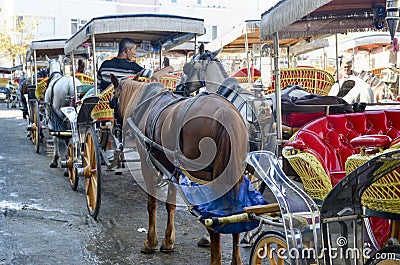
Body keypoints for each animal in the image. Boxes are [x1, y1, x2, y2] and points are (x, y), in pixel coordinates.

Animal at [111, 74, 248, 264]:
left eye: (112, 101)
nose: (114, 130)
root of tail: (224, 112)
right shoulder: (172, 170)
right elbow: (171, 204)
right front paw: (168, 241)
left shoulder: (147, 165)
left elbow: (152, 204)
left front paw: (150, 242)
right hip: (235, 175)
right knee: (235, 214)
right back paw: (236, 258)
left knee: (213, 219)